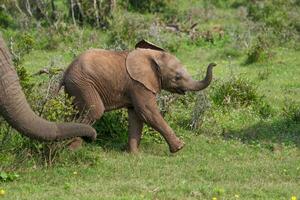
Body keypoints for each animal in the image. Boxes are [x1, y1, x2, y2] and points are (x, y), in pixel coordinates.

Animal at [59, 39, 216, 154]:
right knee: (94, 111)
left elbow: (136, 116)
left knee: (74, 113)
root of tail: (65, 73)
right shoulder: (138, 84)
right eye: (177, 77)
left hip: (74, 88)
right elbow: (147, 112)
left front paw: (134, 155)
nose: (214, 63)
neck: (152, 56)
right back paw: (72, 150)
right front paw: (179, 147)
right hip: (83, 84)